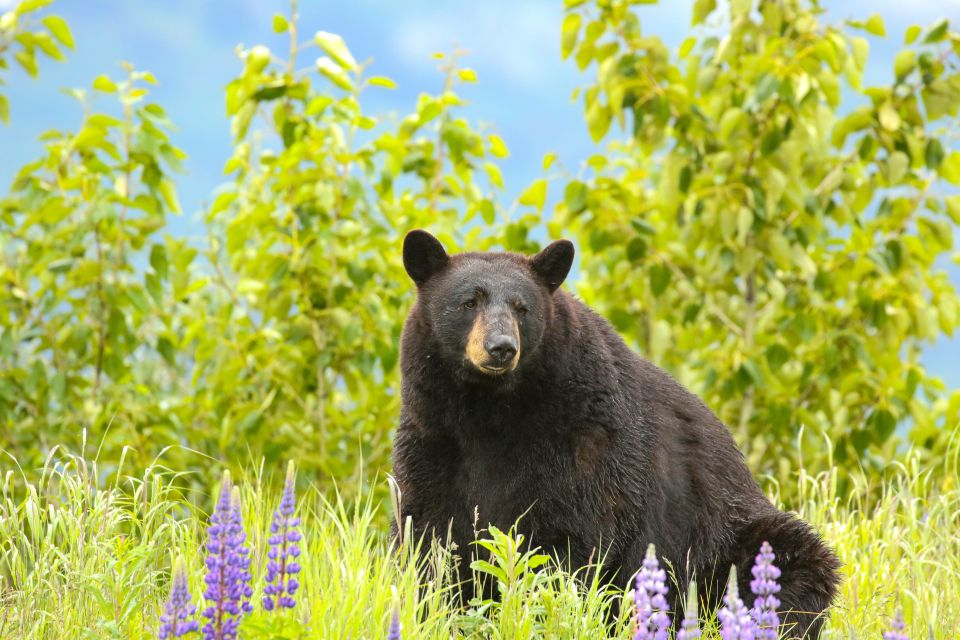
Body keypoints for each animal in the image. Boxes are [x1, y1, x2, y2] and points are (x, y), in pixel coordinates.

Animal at [394, 230, 836, 636]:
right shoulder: (433, 437)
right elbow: (428, 535)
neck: (489, 412)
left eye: (523, 308)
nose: (501, 347)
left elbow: (569, 540)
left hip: (730, 536)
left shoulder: (583, 440)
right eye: (469, 302)